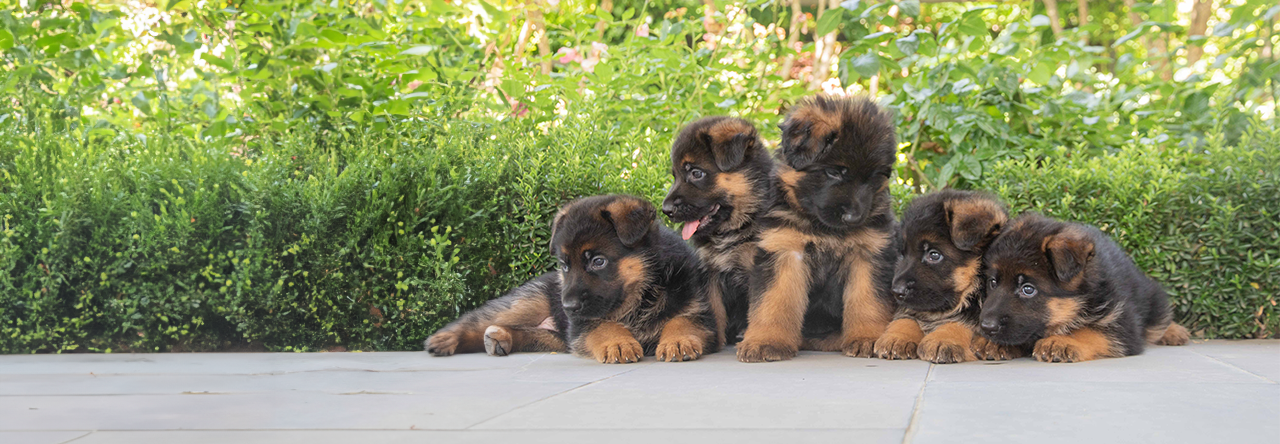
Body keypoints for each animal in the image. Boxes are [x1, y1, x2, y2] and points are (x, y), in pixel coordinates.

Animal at [427, 197, 721, 363]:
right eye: (565, 265)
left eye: (598, 261)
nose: (567, 306)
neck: (639, 296)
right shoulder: (583, 324)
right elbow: (603, 325)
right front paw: (618, 342)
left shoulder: (697, 310)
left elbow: (681, 320)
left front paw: (678, 340)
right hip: (529, 303)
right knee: (480, 319)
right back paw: (443, 340)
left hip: (556, 336)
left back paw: (501, 338)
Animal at [737, 95, 896, 363]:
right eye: (834, 172)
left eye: (874, 176)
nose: (855, 217)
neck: (823, 229)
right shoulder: (785, 251)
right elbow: (774, 301)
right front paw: (766, 341)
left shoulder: (868, 254)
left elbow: (867, 300)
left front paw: (867, 337)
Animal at [875, 189, 1024, 363]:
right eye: (903, 254)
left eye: (934, 255)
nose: (896, 291)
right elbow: (906, 317)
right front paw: (897, 337)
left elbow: (960, 322)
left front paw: (944, 339)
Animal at [977, 213, 1187, 363]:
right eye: (993, 282)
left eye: (1028, 289)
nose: (986, 327)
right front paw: (995, 343)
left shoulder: (1123, 324)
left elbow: (1090, 331)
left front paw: (1063, 340)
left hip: (1152, 299)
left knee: (1159, 321)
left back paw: (1174, 331)